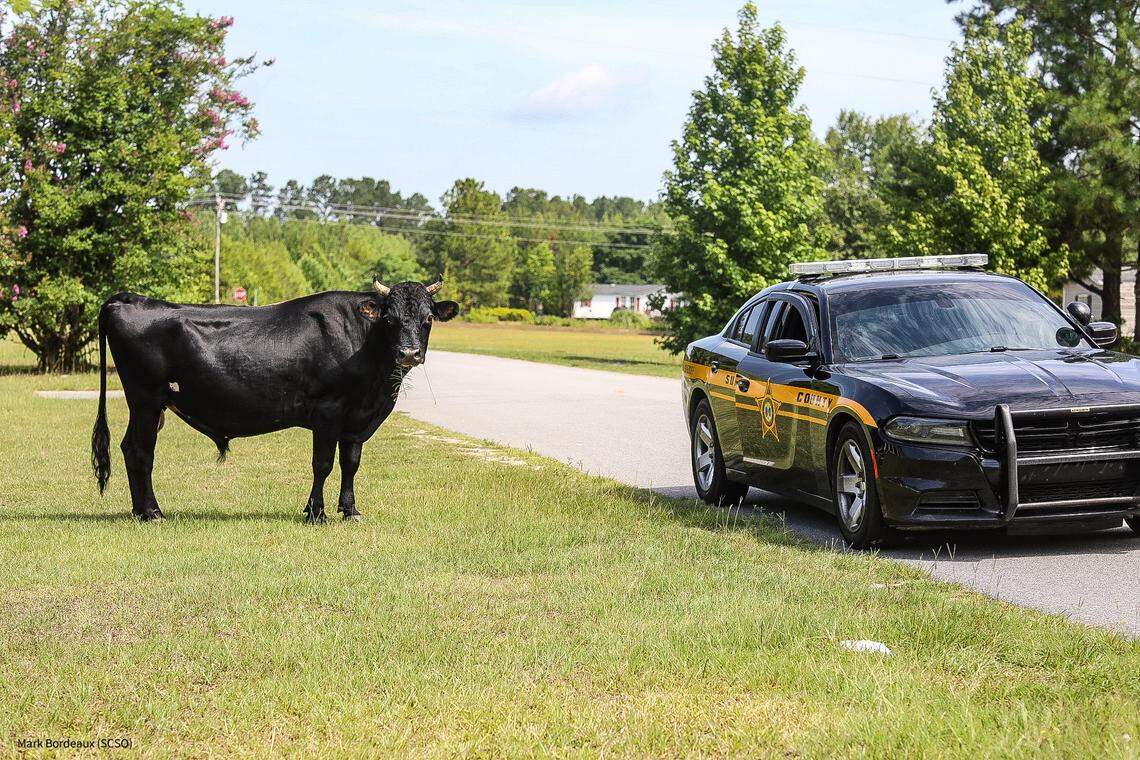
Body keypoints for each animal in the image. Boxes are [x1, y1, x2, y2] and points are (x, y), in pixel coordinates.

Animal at [90, 279, 459, 523]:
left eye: (428, 319)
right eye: (390, 319)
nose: (409, 353)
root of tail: (127, 298)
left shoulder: (357, 418)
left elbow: (350, 463)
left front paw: (350, 510)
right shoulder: (329, 411)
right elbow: (323, 464)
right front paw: (316, 513)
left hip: (148, 404)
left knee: (129, 448)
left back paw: (140, 510)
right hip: (146, 399)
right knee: (140, 451)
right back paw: (152, 512)